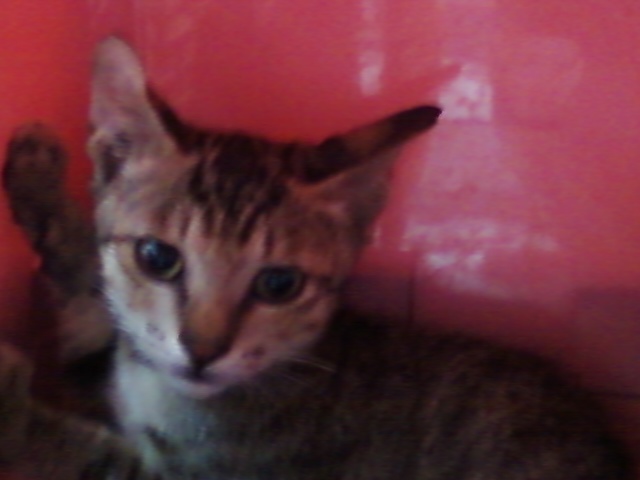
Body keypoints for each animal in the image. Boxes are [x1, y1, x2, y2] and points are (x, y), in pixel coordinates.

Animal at [0, 37, 632, 480]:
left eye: (279, 285)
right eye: (158, 257)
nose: (201, 353)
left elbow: (91, 453)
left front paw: (11, 404)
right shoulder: (113, 362)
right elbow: (94, 300)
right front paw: (39, 179)